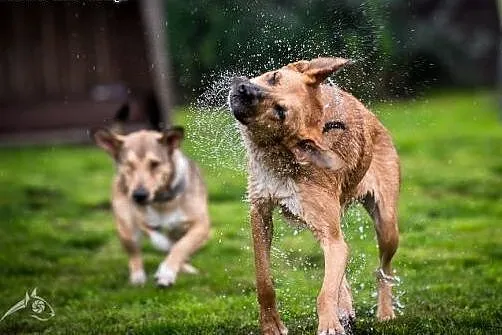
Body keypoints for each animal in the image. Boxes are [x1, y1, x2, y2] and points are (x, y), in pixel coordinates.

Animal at [90, 119, 210, 288]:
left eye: (154, 164)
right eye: (129, 165)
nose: (139, 195)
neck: (162, 201)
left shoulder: (201, 225)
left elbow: (182, 246)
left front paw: (166, 273)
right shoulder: (140, 219)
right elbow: (159, 239)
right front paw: (164, 257)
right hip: (126, 227)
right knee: (134, 252)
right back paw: (137, 277)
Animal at [228, 56, 400, 334]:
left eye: (280, 111)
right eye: (273, 76)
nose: (243, 88)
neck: (284, 159)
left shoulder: (330, 234)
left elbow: (326, 291)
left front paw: (329, 323)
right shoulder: (259, 211)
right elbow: (264, 280)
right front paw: (272, 325)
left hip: (387, 226)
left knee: (382, 270)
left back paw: (384, 311)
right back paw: (346, 307)